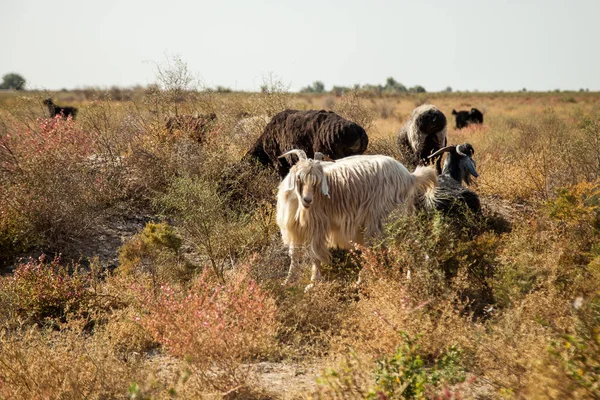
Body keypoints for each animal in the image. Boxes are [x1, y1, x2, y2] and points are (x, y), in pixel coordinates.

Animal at [276, 148, 436, 290]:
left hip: (384, 219)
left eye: (317, 182)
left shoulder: (317, 227)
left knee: (384, 248)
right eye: (299, 178)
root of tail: (410, 177)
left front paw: (313, 283)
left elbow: (315, 254)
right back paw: (415, 275)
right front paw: (287, 281)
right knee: (411, 242)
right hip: (402, 218)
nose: (308, 200)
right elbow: (294, 254)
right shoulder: (294, 228)